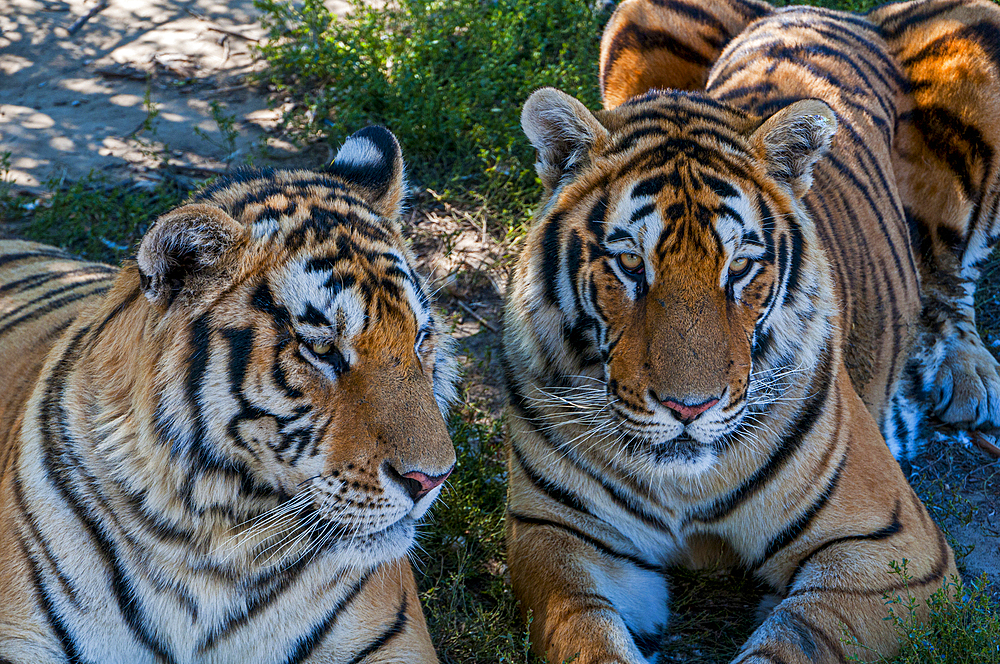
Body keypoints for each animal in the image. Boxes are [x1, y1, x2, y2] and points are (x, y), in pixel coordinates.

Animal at [504, 1, 1000, 664]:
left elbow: (796, 641)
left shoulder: (890, 546)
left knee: (952, 279)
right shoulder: (557, 537)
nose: (690, 408)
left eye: (739, 267)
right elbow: (587, 637)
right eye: (630, 264)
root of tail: (833, 12)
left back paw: (970, 375)